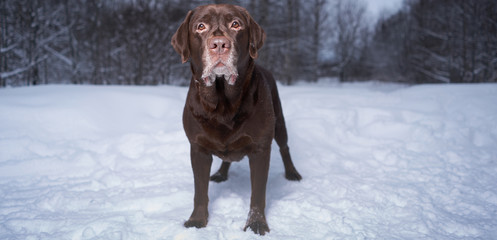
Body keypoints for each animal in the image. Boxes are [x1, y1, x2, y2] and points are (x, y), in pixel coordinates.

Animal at [170, 3, 302, 235]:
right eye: (200, 26)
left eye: (236, 24)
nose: (219, 44)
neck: (223, 102)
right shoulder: (198, 148)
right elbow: (200, 191)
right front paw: (197, 220)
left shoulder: (260, 149)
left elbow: (258, 193)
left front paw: (256, 223)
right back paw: (221, 173)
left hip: (279, 122)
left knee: (284, 147)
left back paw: (292, 172)